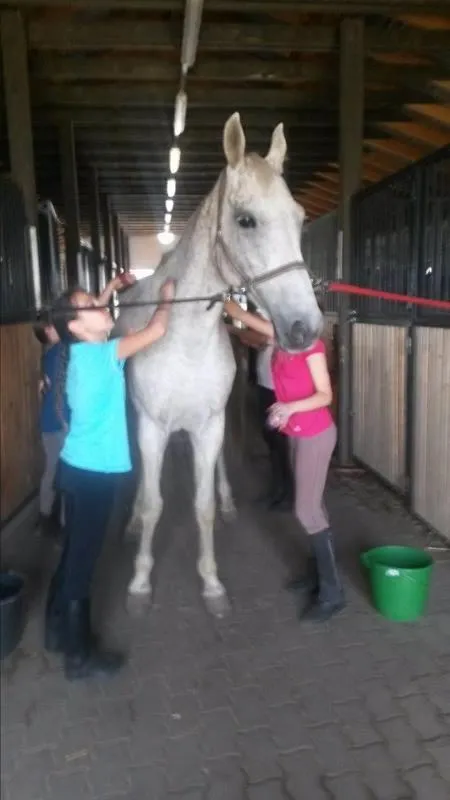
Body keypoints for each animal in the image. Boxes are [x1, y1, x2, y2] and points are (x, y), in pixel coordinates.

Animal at [114, 112, 323, 618]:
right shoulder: (151, 426)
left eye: (299, 219)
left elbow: (203, 503)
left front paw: (211, 584)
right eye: (245, 220)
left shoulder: (208, 424)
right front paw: (140, 583)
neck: (184, 339)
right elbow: (153, 503)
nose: (305, 328)